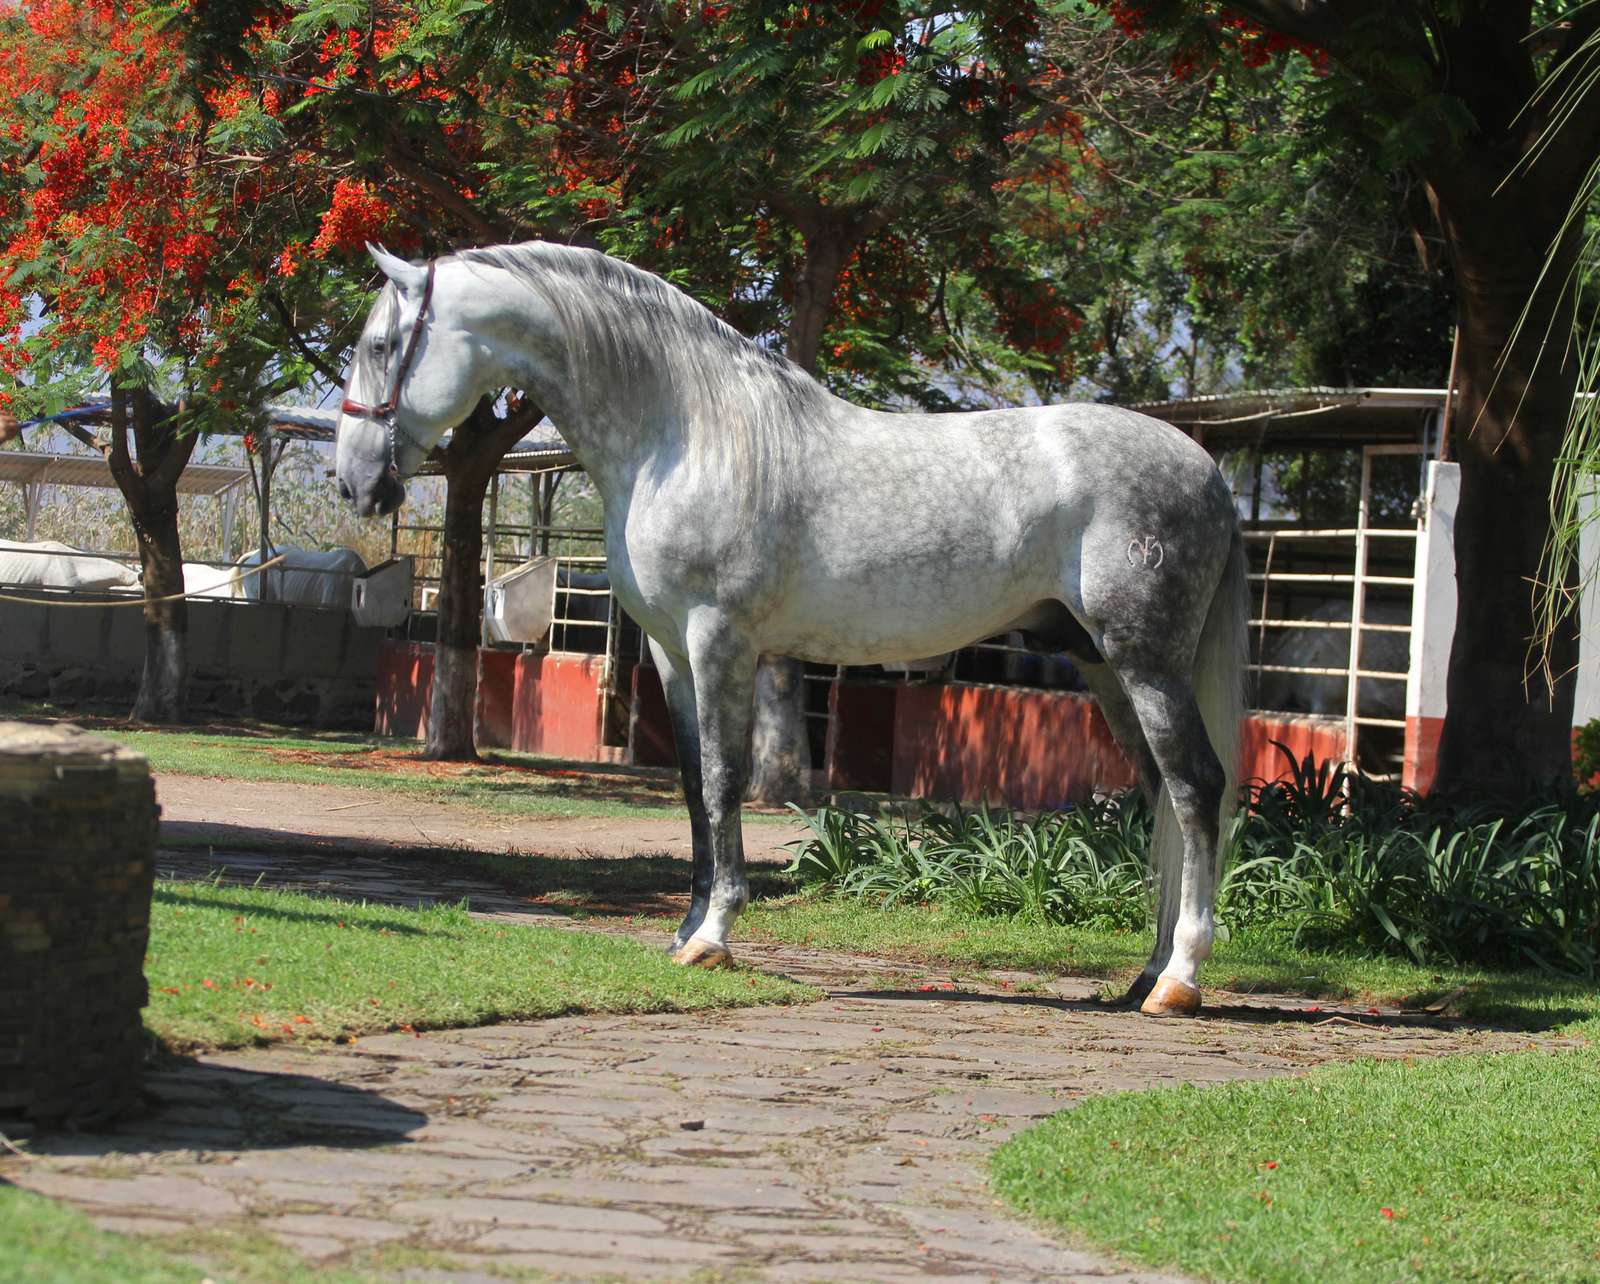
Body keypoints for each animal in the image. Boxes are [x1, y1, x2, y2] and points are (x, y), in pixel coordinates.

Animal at [335, 241, 1247, 1017]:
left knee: (1197, 788)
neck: (688, 433)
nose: (352, 483)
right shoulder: (671, 652)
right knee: (1162, 795)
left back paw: (1181, 980)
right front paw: (686, 929)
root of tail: (1206, 469)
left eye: (382, 344)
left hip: (1148, 663)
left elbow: (724, 778)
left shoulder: (721, 639)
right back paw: (1146, 973)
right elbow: (691, 786)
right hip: (1103, 666)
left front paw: (713, 937)